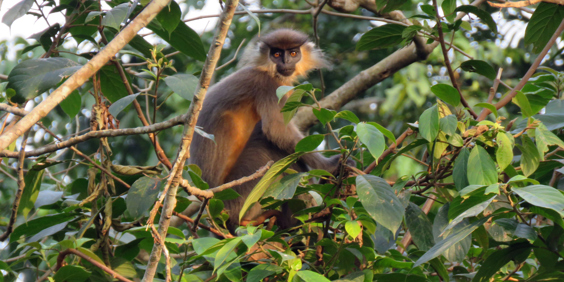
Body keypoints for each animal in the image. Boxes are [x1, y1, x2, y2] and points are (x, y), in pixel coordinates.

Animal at [188, 28, 344, 232]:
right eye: (276, 54)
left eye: (293, 53)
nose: (285, 62)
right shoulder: (268, 85)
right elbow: (276, 131)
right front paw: (330, 166)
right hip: (242, 196)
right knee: (270, 146)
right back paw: (294, 219)